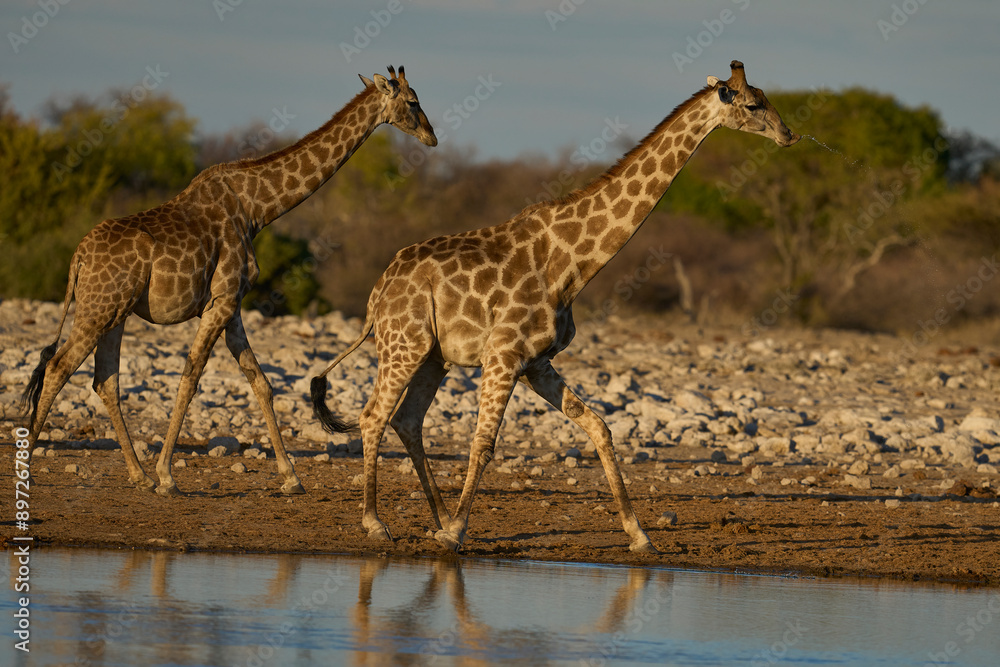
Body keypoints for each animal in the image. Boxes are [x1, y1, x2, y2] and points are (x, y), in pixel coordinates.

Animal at [20, 66, 437, 496]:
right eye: (413, 102)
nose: (432, 136)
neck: (256, 208)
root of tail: (78, 258)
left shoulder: (231, 304)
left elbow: (261, 382)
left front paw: (290, 478)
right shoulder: (221, 300)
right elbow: (190, 379)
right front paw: (167, 475)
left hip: (116, 313)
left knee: (105, 379)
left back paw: (137, 475)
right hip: (98, 308)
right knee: (59, 366)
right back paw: (34, 468)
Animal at [310, 60, 799, 552]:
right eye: (753, 105)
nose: (789, 134)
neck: (573, 262)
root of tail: (378, 291)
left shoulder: (536, 362)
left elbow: (599, 427)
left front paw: (638, 534)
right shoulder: (504, 355)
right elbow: (483, 443)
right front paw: (457, 536)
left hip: (433, 356)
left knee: (407, 420)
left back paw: (438, 518)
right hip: (404, 344)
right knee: (373, 416)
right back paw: (378, 523)